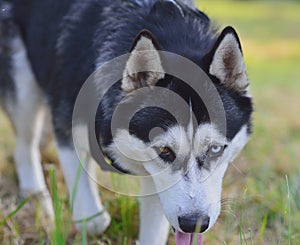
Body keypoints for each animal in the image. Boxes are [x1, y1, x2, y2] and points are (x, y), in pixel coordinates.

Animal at [0, 0, 253, 244]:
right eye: (165, 151)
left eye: (215, 149)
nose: (194, 223)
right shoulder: (67, 131)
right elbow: (93, 219)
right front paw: (92, 219)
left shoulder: (156, 179)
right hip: (24, 90)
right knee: (24, 145)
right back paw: (36, 196)